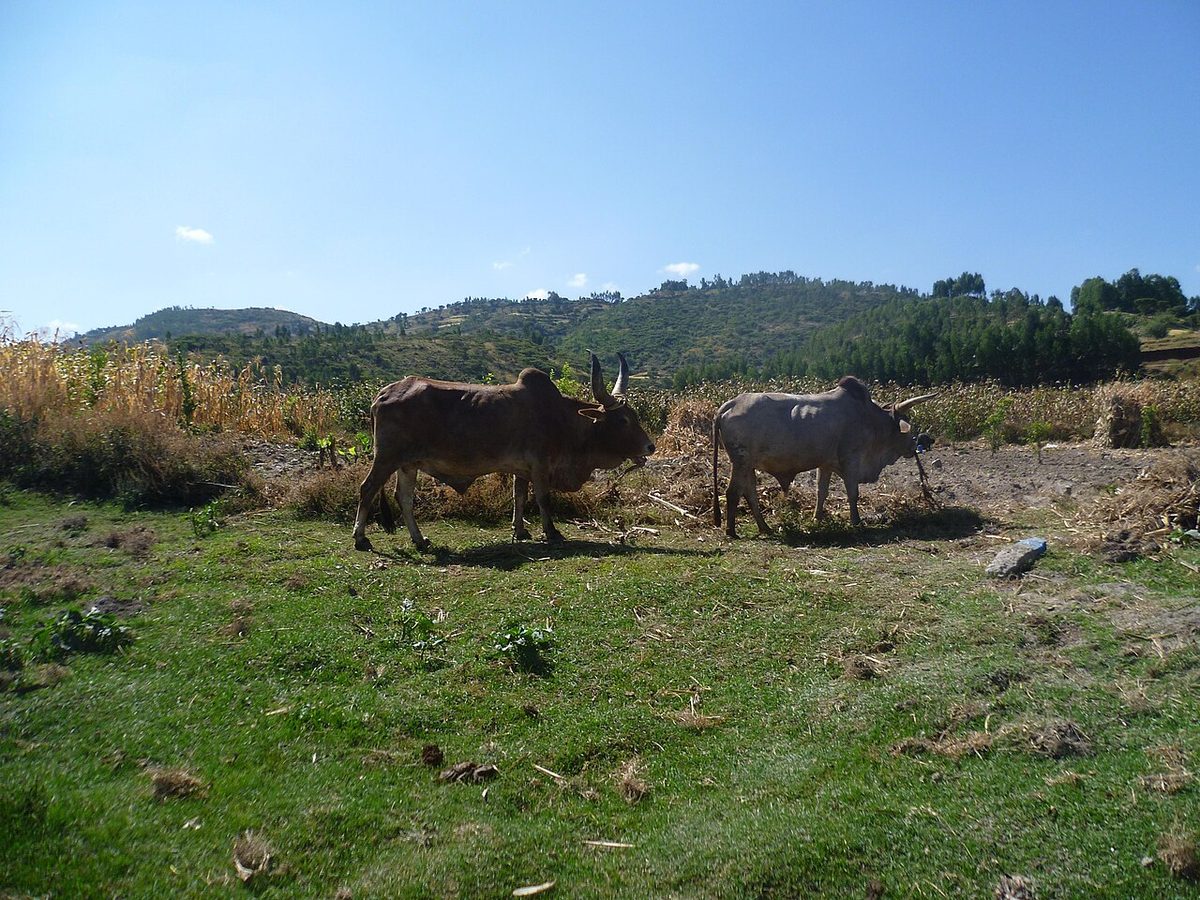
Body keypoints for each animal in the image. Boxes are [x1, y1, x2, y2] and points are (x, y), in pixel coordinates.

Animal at [352, 353, 655, 551]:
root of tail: (382, 394)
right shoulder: (541, 465)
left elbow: (519, 497)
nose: (650, 447)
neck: (562, 419)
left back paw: (420, 540)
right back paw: (361, 538)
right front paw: (552, 532)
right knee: (367, 489)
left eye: (634, 415)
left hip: (408, 464)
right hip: (386, 458)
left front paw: (520, 531)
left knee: (404, 498)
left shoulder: (522, 469)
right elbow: (543, 498)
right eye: (623, 420)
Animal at [712, 376, 936, 538]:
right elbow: (853, 493)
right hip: (741, 462)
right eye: (907, 425)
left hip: (747, 465)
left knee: (749, 493)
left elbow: (822, 492)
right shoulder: (851, 460)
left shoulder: (826, 464)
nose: (916, 445)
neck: (871, 420)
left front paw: (817, 518)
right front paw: (856, 521)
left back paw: (764, 527)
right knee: (733, 492)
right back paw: (732, 531)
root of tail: (729, 404)